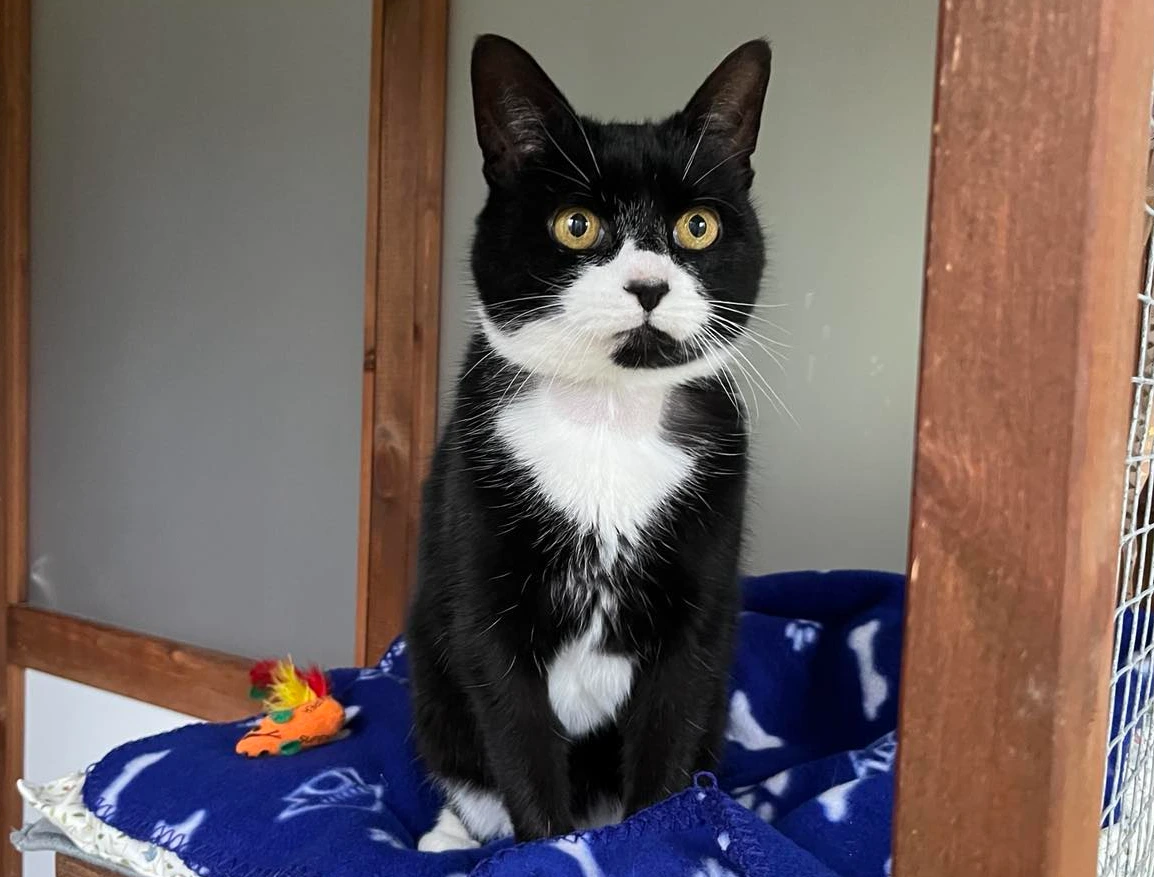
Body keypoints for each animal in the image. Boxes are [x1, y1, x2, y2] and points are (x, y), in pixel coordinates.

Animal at [407, 34, 772, 851]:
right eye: (577, 225)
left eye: (698, 227)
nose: (648, 285)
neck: (607, 418)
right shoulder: (485, 608)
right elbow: (522, 754)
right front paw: (553, 853)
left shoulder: (697, 620)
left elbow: (665, 755)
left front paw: (654, 844)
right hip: (433, 681)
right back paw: (447, 835)